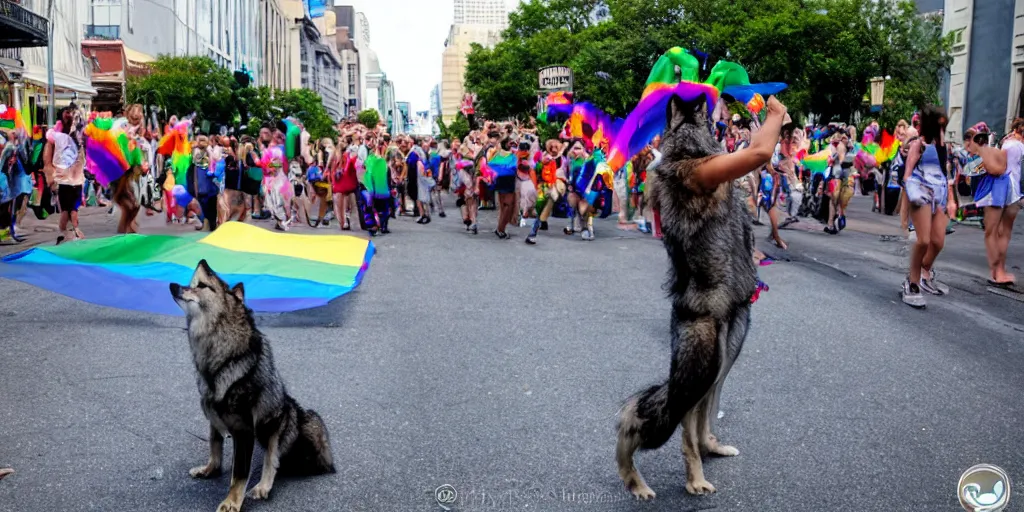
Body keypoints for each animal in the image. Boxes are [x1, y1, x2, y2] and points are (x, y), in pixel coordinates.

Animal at [172, 262, 335, 509]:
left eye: (202, 285)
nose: (172, 285)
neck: (225, 357)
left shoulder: (244, 430)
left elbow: (241, 473)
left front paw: (232, 502)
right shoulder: (214, 415)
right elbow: (215, 445)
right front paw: (211, 470)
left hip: (296, 418)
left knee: (274, 455)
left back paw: (263, 486)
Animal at [614, 90, 782, 497]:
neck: (686, 148)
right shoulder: (712, 169)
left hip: (727, 349)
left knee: (696, 415)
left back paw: (710, 449)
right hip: (703, 365)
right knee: (663, 424)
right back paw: (665, 479)